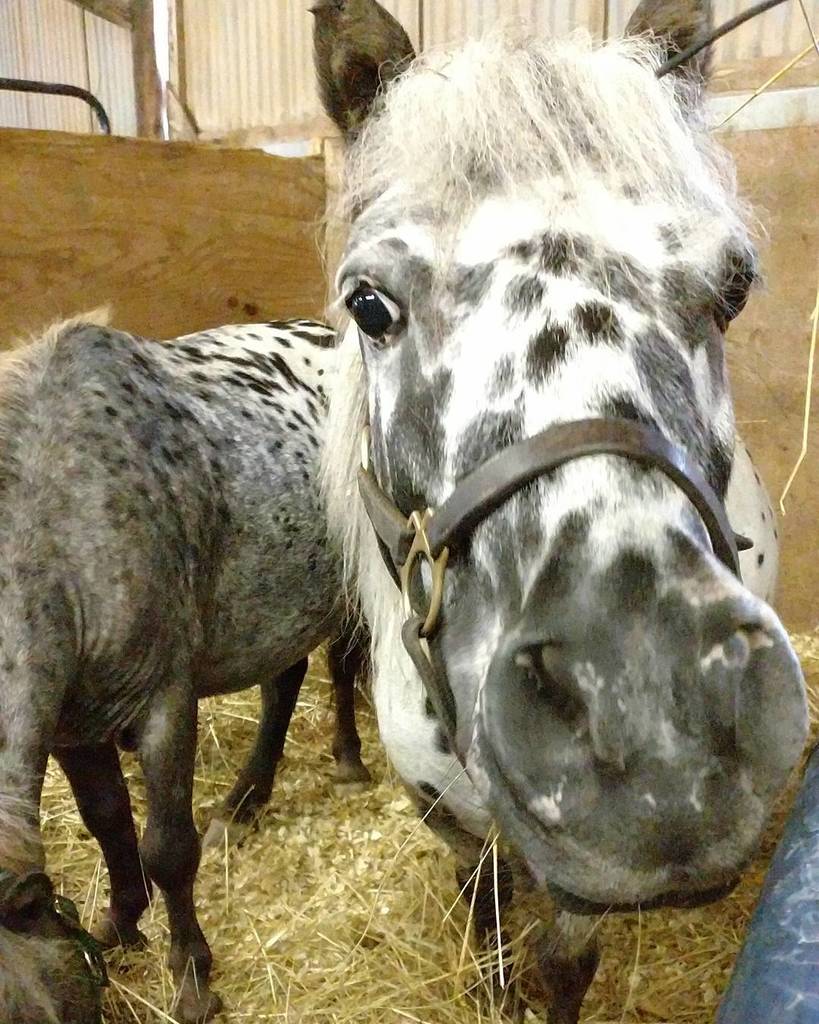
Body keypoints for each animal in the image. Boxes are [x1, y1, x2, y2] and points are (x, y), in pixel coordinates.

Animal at [0, 314, 368, 1023]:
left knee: (343, 666)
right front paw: (120, 924)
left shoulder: (164, 706)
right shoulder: (74, 729)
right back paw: (246, 803)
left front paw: (192, 977)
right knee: (283, 684)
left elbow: (168, 849)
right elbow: (108, 823)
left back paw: (346, 759)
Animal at [313, 1, 808, 1019]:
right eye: (368, 305)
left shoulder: (579, 876)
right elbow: (484, 907)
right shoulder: (447, 815)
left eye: (732, 287)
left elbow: (560, 959)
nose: (655, 727)